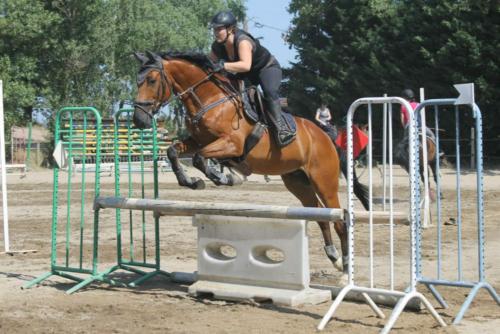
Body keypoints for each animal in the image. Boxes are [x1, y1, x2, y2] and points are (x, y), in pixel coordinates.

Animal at [131, 51, 370, 276]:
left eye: (151, 80)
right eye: (137, 80)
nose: (138, 120)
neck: (209, 100)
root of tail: (325, 136)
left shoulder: (231, 144)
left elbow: (200, 157)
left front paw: (225, 177)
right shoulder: (196, 141)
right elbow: (173, 151)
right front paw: (192, 182)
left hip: (323, 180)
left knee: (338, 219)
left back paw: (345, 266)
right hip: (297, 182)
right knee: (320, 214)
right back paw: (334, 256)